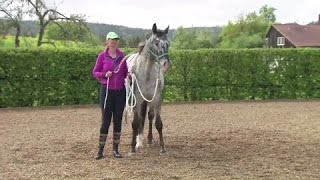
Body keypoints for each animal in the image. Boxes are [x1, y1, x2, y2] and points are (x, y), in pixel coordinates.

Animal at [127, 22, 170, 155]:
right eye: (156, 43)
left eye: (168, 43)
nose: (165, 64)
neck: (146, 73)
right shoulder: (138, 99)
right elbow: (136, 122)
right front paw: (132, 147)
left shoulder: (156, 98)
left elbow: (158, 123)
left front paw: (163, 147)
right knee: (140, 118)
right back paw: (138, 141)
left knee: (149, 116)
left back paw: (148, 139)